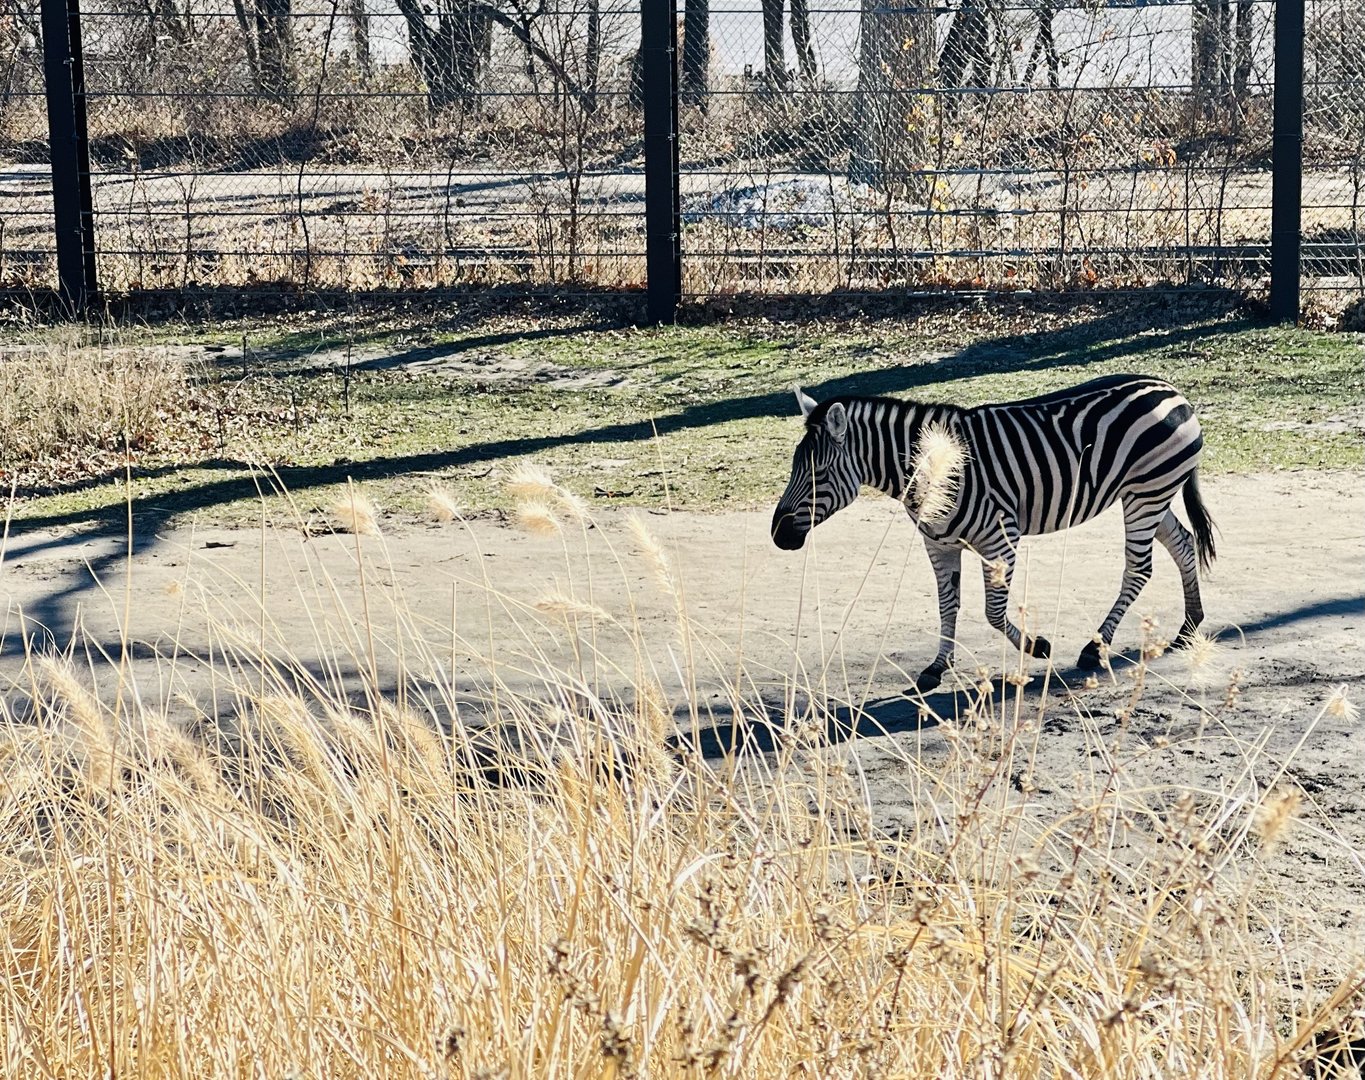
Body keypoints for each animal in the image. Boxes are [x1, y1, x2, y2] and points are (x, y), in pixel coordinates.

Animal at [770, 373, 1216, 692]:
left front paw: (1036, 646)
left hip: (1146, 493)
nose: (777, 536)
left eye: (818, 473)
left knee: (1139, 568)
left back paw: (1096, 647)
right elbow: (947, 606)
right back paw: (1189, 626)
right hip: (1148, 493)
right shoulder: (937, 544)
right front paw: (937, 667)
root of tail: (1170, 389)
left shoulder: (1002, 538)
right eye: (794, 469)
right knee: (1183, 544)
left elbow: (992, 612)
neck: (932, 472)